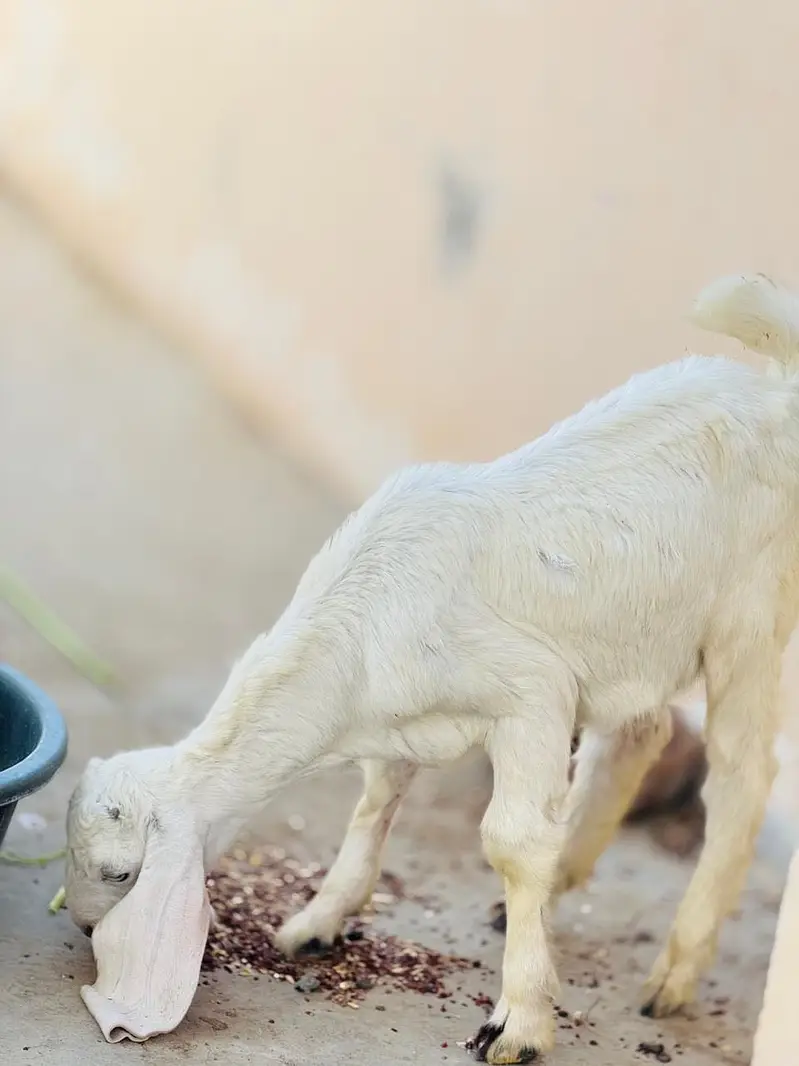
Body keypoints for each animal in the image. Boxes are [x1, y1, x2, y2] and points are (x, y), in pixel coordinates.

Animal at [66, 273, 799, 1061]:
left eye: (119, 872)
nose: (83, 925)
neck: (353, 635)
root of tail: (779, 392)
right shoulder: (404, 725)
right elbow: (373, 805)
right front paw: (317, 921)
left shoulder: (532, 693)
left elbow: (510, 842)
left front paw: (519, 1021)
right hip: (634, 634)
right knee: (642, 734)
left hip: (750, 619)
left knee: (739, 777)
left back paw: (675, 971)